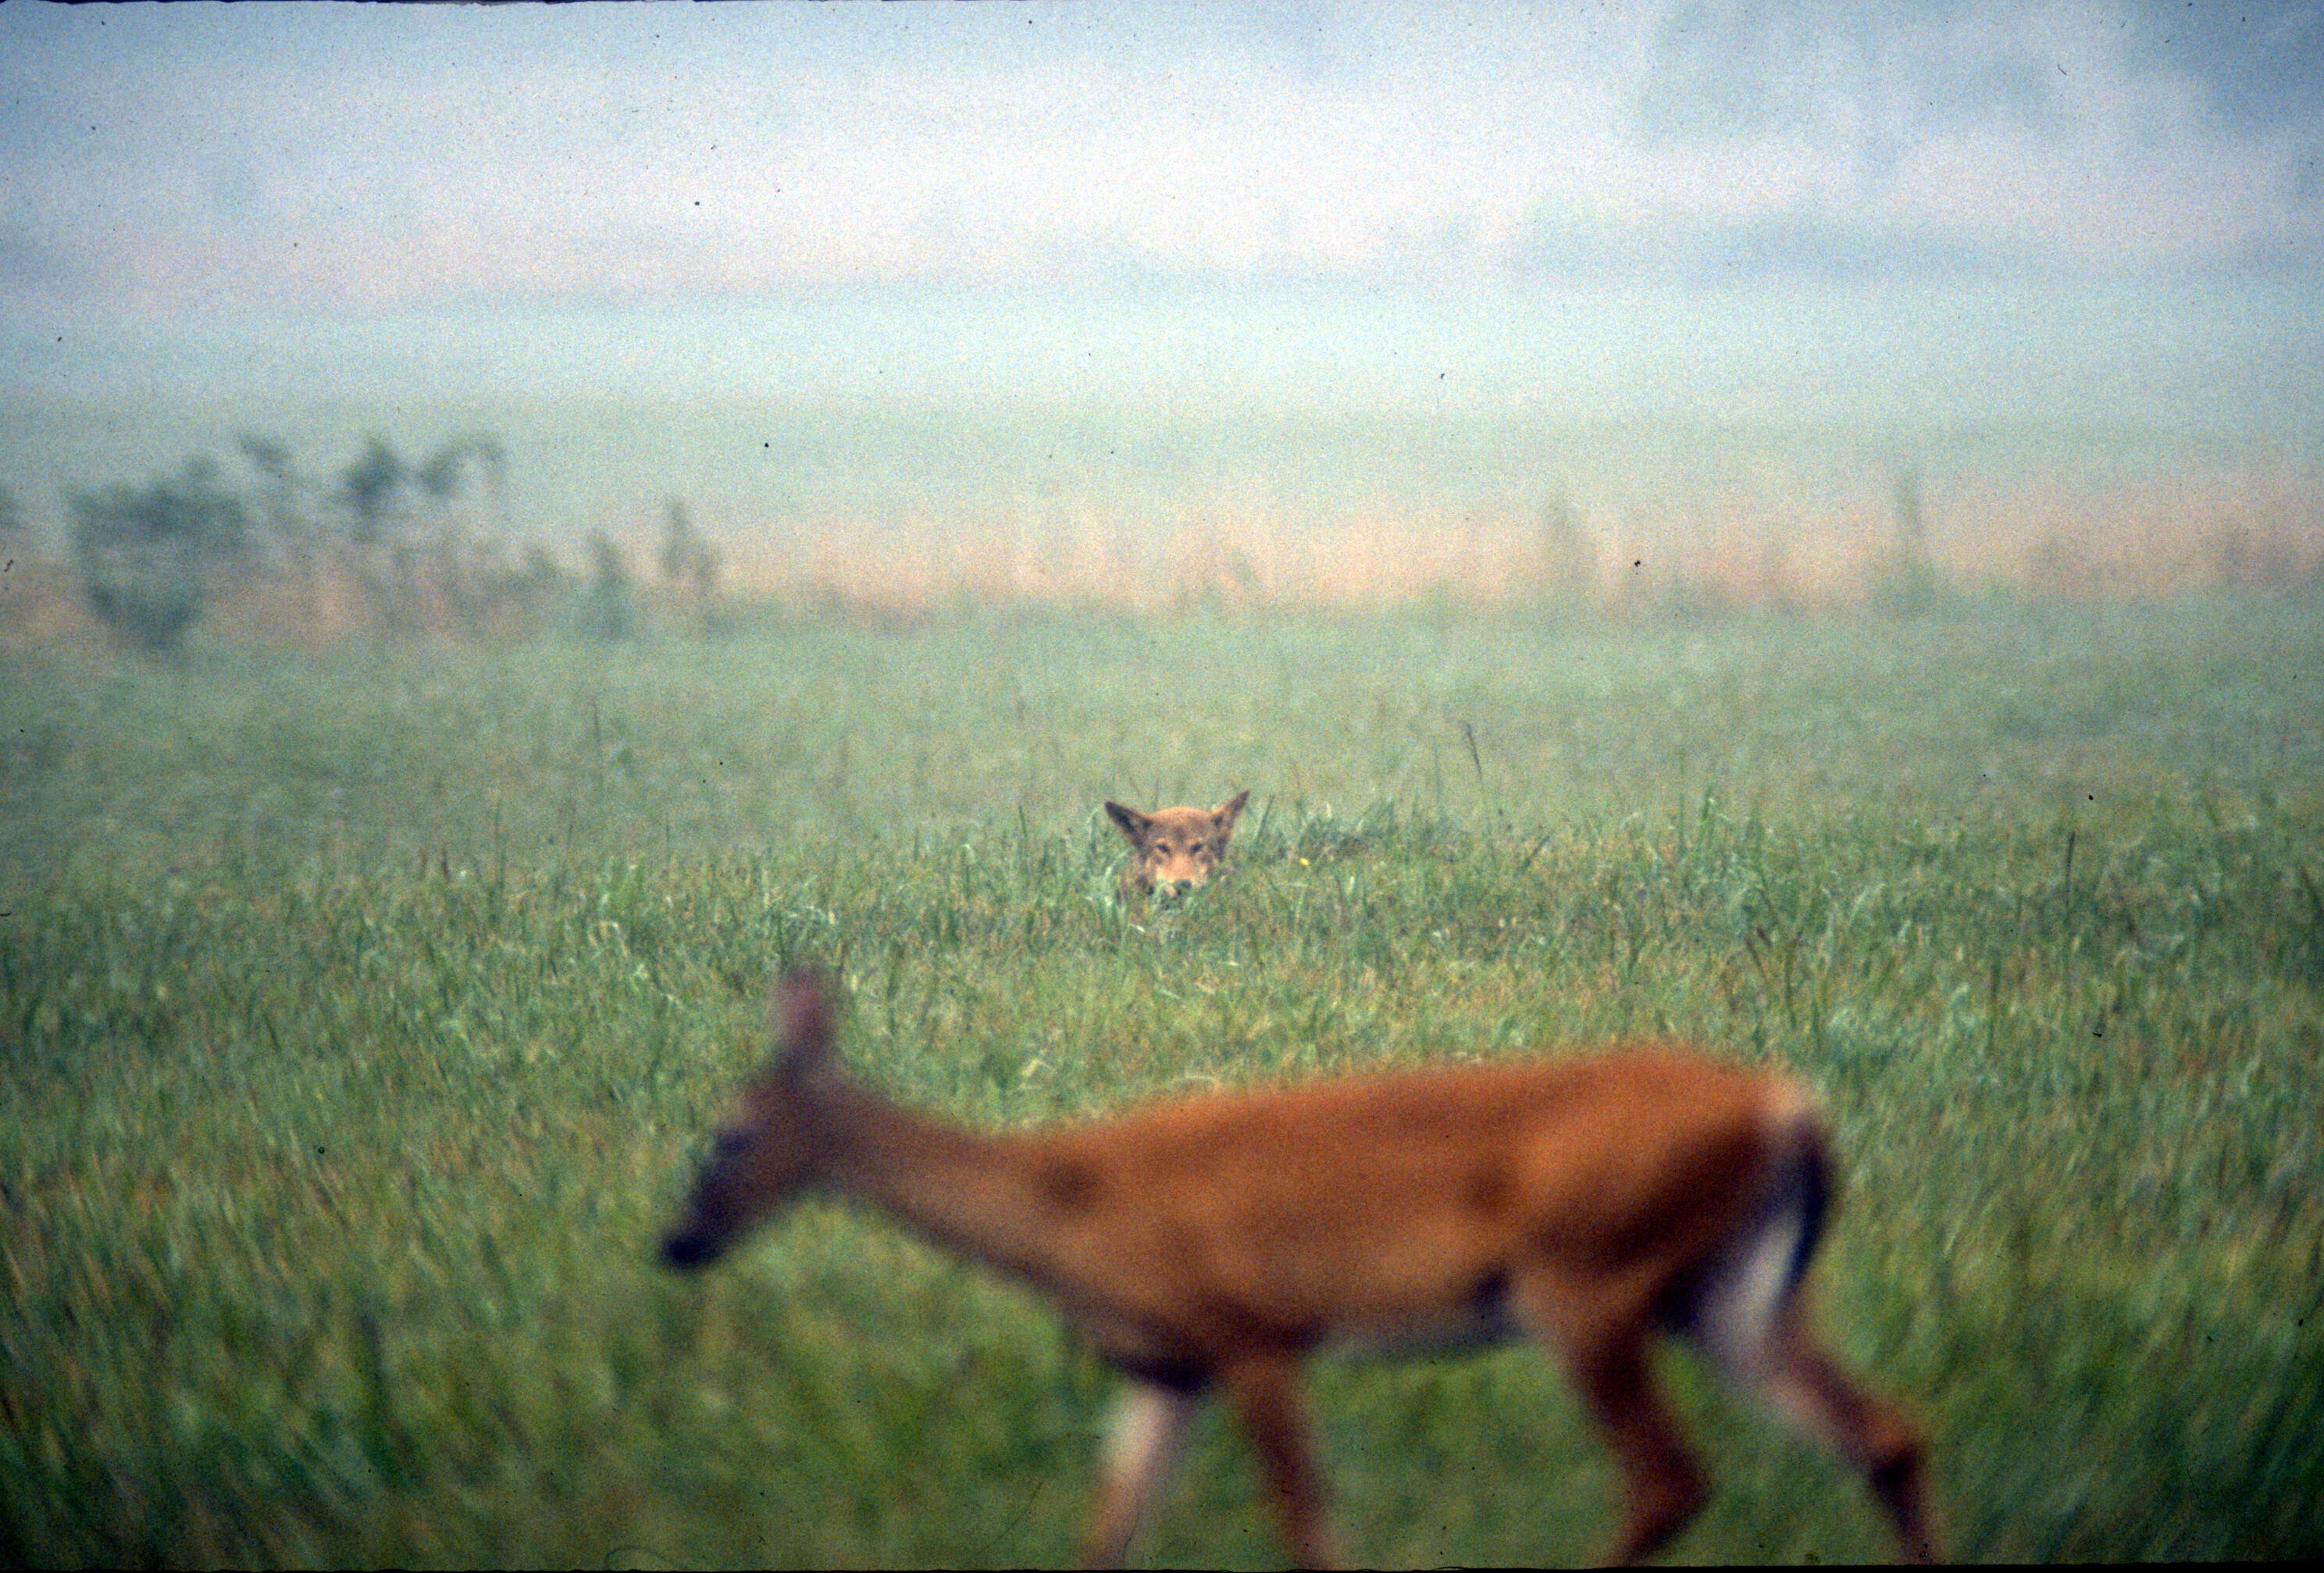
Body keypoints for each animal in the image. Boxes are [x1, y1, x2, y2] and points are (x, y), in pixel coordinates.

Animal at [660, 976, 1942, 1561]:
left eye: (726, 1135)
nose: (676, 1242)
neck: (1067, 1206)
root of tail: (1791, 1109)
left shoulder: (1253, 1334)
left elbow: (1304, 1522)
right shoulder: (1163, 1367)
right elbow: (1107, 1533)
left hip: (1590, 1279)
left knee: (1671, 1476)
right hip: (1726, 1293)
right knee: (1885, 1431)